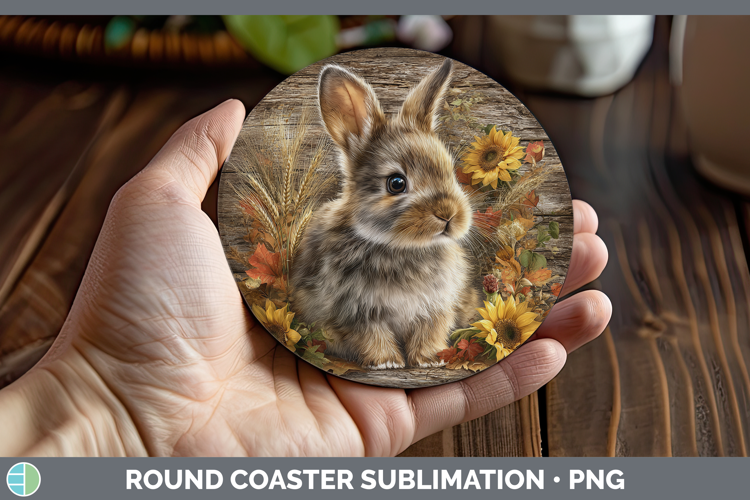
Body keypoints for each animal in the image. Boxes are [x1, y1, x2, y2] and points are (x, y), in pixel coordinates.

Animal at [290, 58, 478, 369]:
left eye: (449, 172)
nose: (448, 214)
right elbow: (371, 336)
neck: (403, 247)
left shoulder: (436, 307)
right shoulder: (356, 310)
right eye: (396, 183)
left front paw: (429, 360)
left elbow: (429, 331)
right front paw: (387, 362)